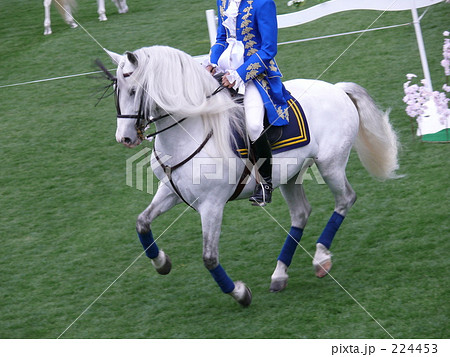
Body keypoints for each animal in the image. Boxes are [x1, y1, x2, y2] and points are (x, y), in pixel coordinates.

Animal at [103, 45, 400, 306]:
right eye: (117, 91)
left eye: (134, 90)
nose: (124, 138)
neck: (190, 132)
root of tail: (337, 89)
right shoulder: (170, 191)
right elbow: (142, 223)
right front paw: (162, 263)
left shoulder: (212, 205)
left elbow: (209, 257)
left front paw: (240, 294)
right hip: (290, 176)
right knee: (301, 214)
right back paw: (280, 274)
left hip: (331, 165)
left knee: (345, 199)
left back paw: (320, 258)